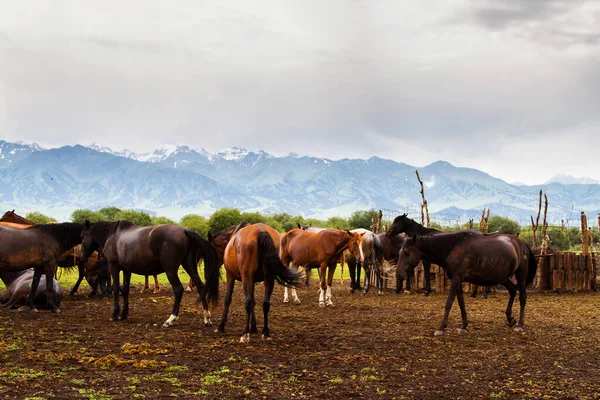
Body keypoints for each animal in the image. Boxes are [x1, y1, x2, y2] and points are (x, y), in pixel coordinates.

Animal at [79, 220, 219, 326]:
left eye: (82, 235)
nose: (81, 257)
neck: (114, 235)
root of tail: (184, 231)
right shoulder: (126, 270)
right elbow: (125, 290)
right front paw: (124, 314)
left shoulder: (114, 267)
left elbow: (116, 289)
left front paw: (114, 314)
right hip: (189, 265)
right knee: (200, 286)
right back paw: (206, 318)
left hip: (170, 270)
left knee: (178, 289)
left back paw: (170, 319)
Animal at [396, 231, 536, 334]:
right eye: (400, 252)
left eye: (406, 253)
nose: (398, 274)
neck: (452, 248)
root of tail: (521, 243)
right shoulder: (458, 280)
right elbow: (461, 303)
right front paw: (463, 326)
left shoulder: (456, 279)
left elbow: (449, 303)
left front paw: (441, 327)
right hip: (504, 278)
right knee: (512, 290)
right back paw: (510, 319)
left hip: (520, 275)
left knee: (522, 297)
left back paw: (520, 325)